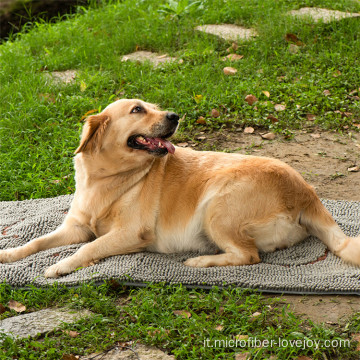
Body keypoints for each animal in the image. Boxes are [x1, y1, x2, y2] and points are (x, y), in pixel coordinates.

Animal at [1, 98, 358, 276]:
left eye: (153, 107)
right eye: (138, 109)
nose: (174, 115)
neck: (108, 178)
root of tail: (306, 192)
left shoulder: (130, 234)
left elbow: (87, 249)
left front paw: (59, 266)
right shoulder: (75, 227)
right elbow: (36, 242)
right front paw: (9, 254)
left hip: (217, 206)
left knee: (248, 256)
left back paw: (200, 263)